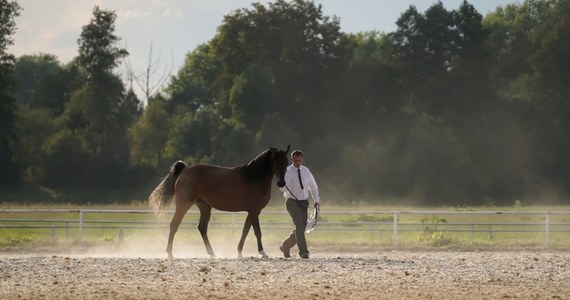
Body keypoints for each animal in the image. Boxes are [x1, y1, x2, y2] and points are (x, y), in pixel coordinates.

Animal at [148, 145, 288, 258]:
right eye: (275, 161)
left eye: (286, 162)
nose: (281, 183)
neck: (253, 177)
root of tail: (186, 169)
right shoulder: (254, 211)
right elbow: (257, 232)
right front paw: (263, 253)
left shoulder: (252, 211)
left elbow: (246, 230)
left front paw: (239, 252)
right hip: (183, 205)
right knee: (174, 225)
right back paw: (170, 253)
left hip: (205, 207)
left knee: (202, 228)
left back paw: (212, 253)